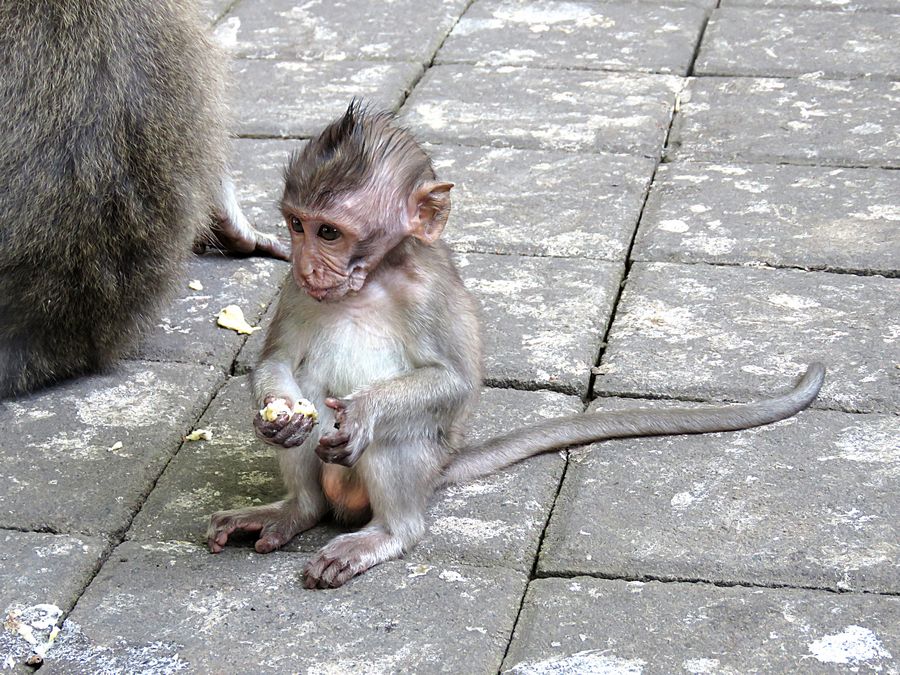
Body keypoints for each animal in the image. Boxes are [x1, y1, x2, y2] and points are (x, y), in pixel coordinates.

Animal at [206, 101, 826, 589]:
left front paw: (362, 411)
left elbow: (452, 383)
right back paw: (297, 511)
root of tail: (440, 471)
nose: (309, 265)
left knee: (399, 441)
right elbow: (280, 362)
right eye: (296, 225)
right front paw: (279, 416)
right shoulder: (295, 291)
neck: (372, 280)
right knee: (312, 394)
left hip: (420, 463)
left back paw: (385, 533)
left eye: (330, 232)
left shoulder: (428, 293)